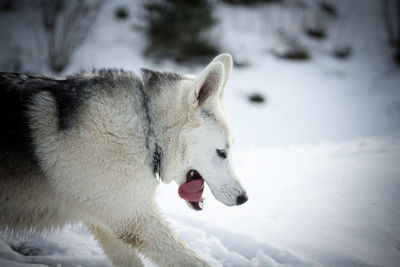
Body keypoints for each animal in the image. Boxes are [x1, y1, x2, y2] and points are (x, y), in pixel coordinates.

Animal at [0, 54, 247, 267]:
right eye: (222, 152)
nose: (243, 198)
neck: (148, 128)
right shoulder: (135, 218)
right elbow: (193, 261)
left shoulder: (110, 219)